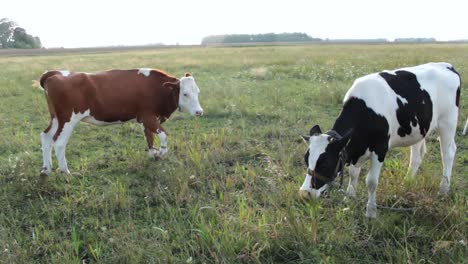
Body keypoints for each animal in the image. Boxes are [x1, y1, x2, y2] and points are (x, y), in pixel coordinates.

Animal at [38, 68, 203, 176]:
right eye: (185, 94)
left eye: (198, 92)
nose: (199, 111)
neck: (157, 89)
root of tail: (54, 73)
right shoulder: (148, 116)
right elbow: (163, 135)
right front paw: (161, 153)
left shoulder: (145, 119)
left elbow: (149, 137)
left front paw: (152, 155)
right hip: (68, 119)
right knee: (59, 143)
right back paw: (66, 172)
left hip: (56, 118)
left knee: (46, 137)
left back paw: (46, 169)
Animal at [300, 62, 460, 219]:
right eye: (306, 160)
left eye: (325, 164)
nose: (304, 194)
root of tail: (447, 65)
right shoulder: (356, 150)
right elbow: (353, 174)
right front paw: (349, 199)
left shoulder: (380, 148)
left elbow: (371, 182)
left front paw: (371, 212)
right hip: (419, 129)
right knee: (416, 156)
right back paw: (407, 182)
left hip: (448, 122)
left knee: (448, 153)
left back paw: (443, 190)